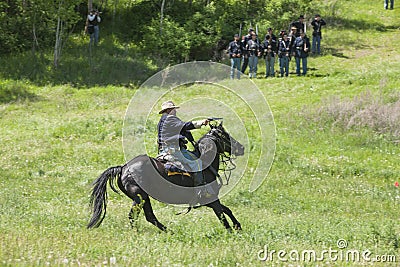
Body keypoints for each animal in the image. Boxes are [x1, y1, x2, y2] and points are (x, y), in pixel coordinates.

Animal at [86, 122, 244, 231]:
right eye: (225, 135)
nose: (241, 147)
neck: (205, 162)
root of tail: (123, 168)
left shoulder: (209, 201)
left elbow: (226, 210)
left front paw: (238, 226)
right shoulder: (211, 198)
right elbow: (222, 215)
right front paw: (232, 231)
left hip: (142, 198)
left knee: (145, 216)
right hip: (140, 197)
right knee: (139, 216)